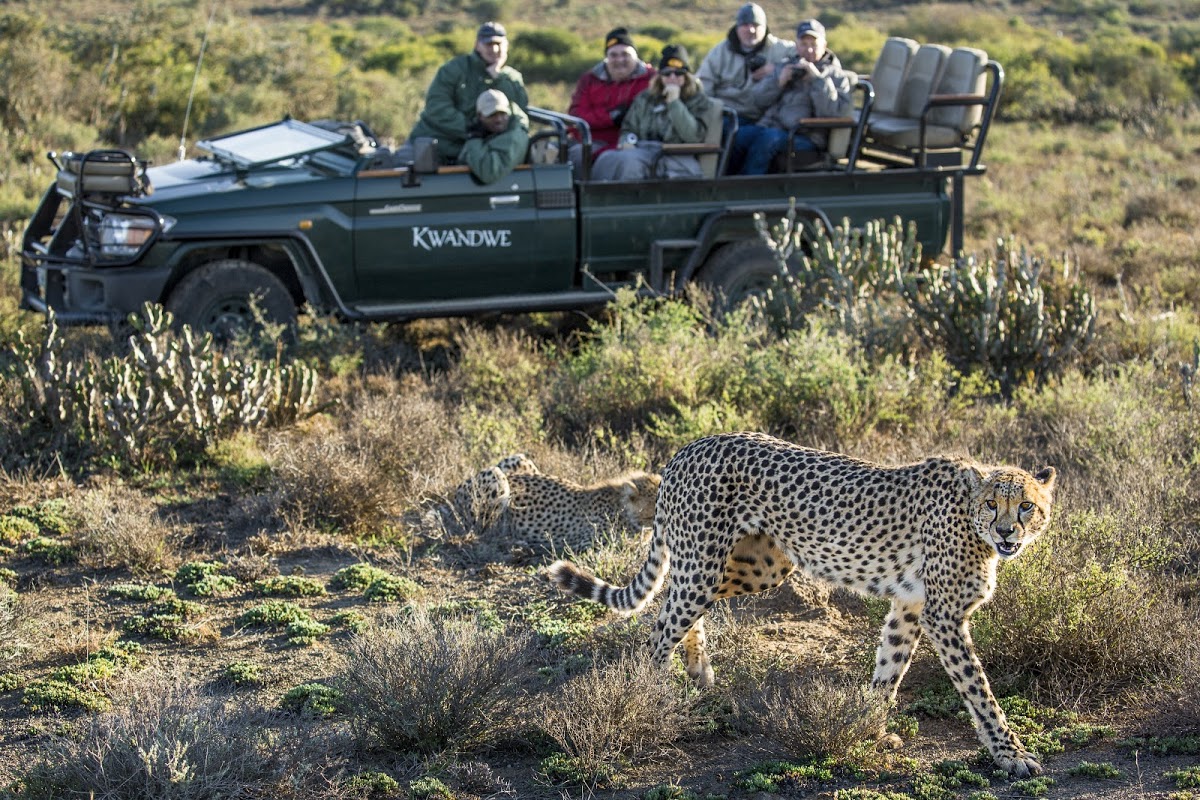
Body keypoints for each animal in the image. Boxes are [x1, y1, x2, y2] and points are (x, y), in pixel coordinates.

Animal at [451, 455, 662, 556]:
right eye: (654, 513)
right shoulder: (587, 543)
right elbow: (628, 546)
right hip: (498, 480)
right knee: (484, 530)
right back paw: (517, 543)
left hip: (519, 459)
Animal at [549, 431, 1056, 777]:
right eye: (992, 504)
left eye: (1026, 506)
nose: (1007, 531)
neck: (971, 522)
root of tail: (688, 447)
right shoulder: (943, 615)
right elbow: (979, 690)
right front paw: (1011, 755)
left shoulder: (911, 606)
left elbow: (889, 669)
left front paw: (866, 729)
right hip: (707, 562)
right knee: (661, 627)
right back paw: (655, 698)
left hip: (754, 567)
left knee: (675, 604)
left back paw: (698, 668)